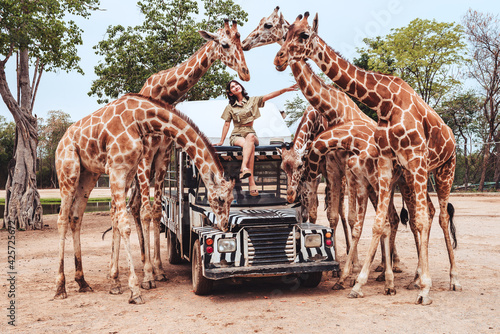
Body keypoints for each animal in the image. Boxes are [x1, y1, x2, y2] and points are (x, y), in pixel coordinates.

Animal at [55, 92, 236, 304]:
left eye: (231, 200)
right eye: (220, 199)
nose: (225, 225)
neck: (141, 119)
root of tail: (61, 141)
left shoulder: (128, 169)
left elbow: (118, 220)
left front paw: (117, 284)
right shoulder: (117, 169)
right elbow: (125, 224)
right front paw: (135, 289)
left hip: (88, 174)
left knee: (76, 217)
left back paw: (82, 282)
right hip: (68, 172)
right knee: (62, 219)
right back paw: (60, 287)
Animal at [126, 18, 249, 288]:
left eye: (242, 42)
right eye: (225, 44)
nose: (245, 73)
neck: (163, 92)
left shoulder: (162, 155)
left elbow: (155, 211)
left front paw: (157, 270)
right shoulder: (146, 156)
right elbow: (149, 212)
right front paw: (148, 277)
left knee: (135, 207)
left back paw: (144, 260)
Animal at [274, 12, 460, 306]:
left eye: (303, 35)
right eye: (285, 34)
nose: (278, 59)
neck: (385, 101)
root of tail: (451, 135)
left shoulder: (413, 159)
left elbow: (406, 221)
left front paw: (424, 290)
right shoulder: (384, 164)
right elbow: (375, 222)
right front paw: (357, 280)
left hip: (443, 169)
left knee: (438, 217)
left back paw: (449, 279)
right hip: (410, 177)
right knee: (423, 213)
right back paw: (412, 275)